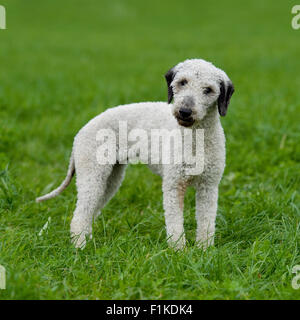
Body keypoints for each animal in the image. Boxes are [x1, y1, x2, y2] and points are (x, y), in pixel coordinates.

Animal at [36, 58, 234, 249]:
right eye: (182, 82)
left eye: (208, 90)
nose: (184, 111)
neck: (195, 139)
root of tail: (79, 135)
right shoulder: (173, 184)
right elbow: (175, 224)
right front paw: (179, 251)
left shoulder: (209, 186)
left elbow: (207, 222)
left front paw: (204, 251)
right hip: (92, 174)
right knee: (79, 216)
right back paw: (80, 248)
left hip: (110, 180)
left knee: (89, 213)